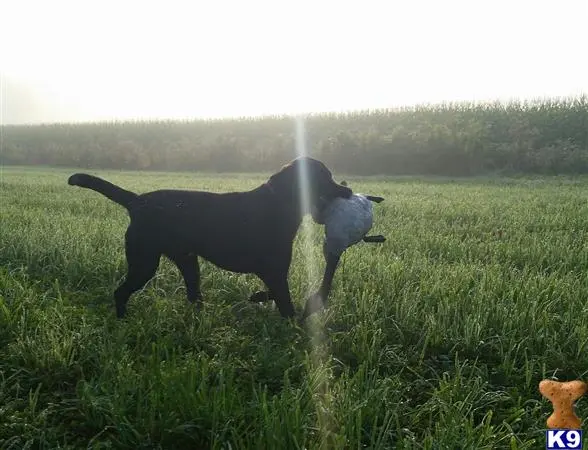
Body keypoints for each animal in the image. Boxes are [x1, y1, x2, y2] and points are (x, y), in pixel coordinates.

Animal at [69, 156, 354, 318]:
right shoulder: (273, 271)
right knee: (120, 292)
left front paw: (256, 297)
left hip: (187, 261)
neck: (279, 204)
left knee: (193, 295)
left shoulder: (273, 272)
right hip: (144, 263)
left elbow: (273, 294)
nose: (348, 191)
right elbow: (285, 303)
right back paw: (122, 320)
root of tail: (136, 201)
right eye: (325, 178)